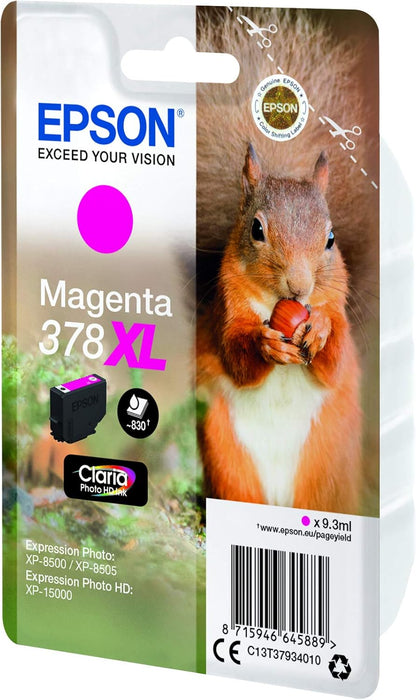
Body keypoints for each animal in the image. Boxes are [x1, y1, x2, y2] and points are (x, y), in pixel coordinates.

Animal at [195, 8, 378, 514]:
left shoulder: (337, 306)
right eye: (257, 230)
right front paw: (264, 344)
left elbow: (335, 359)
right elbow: (235, 356)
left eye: (331, 239)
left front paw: (319, 330)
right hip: (227, 456)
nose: (299, 288)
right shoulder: (227, 309)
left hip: (326, 466)